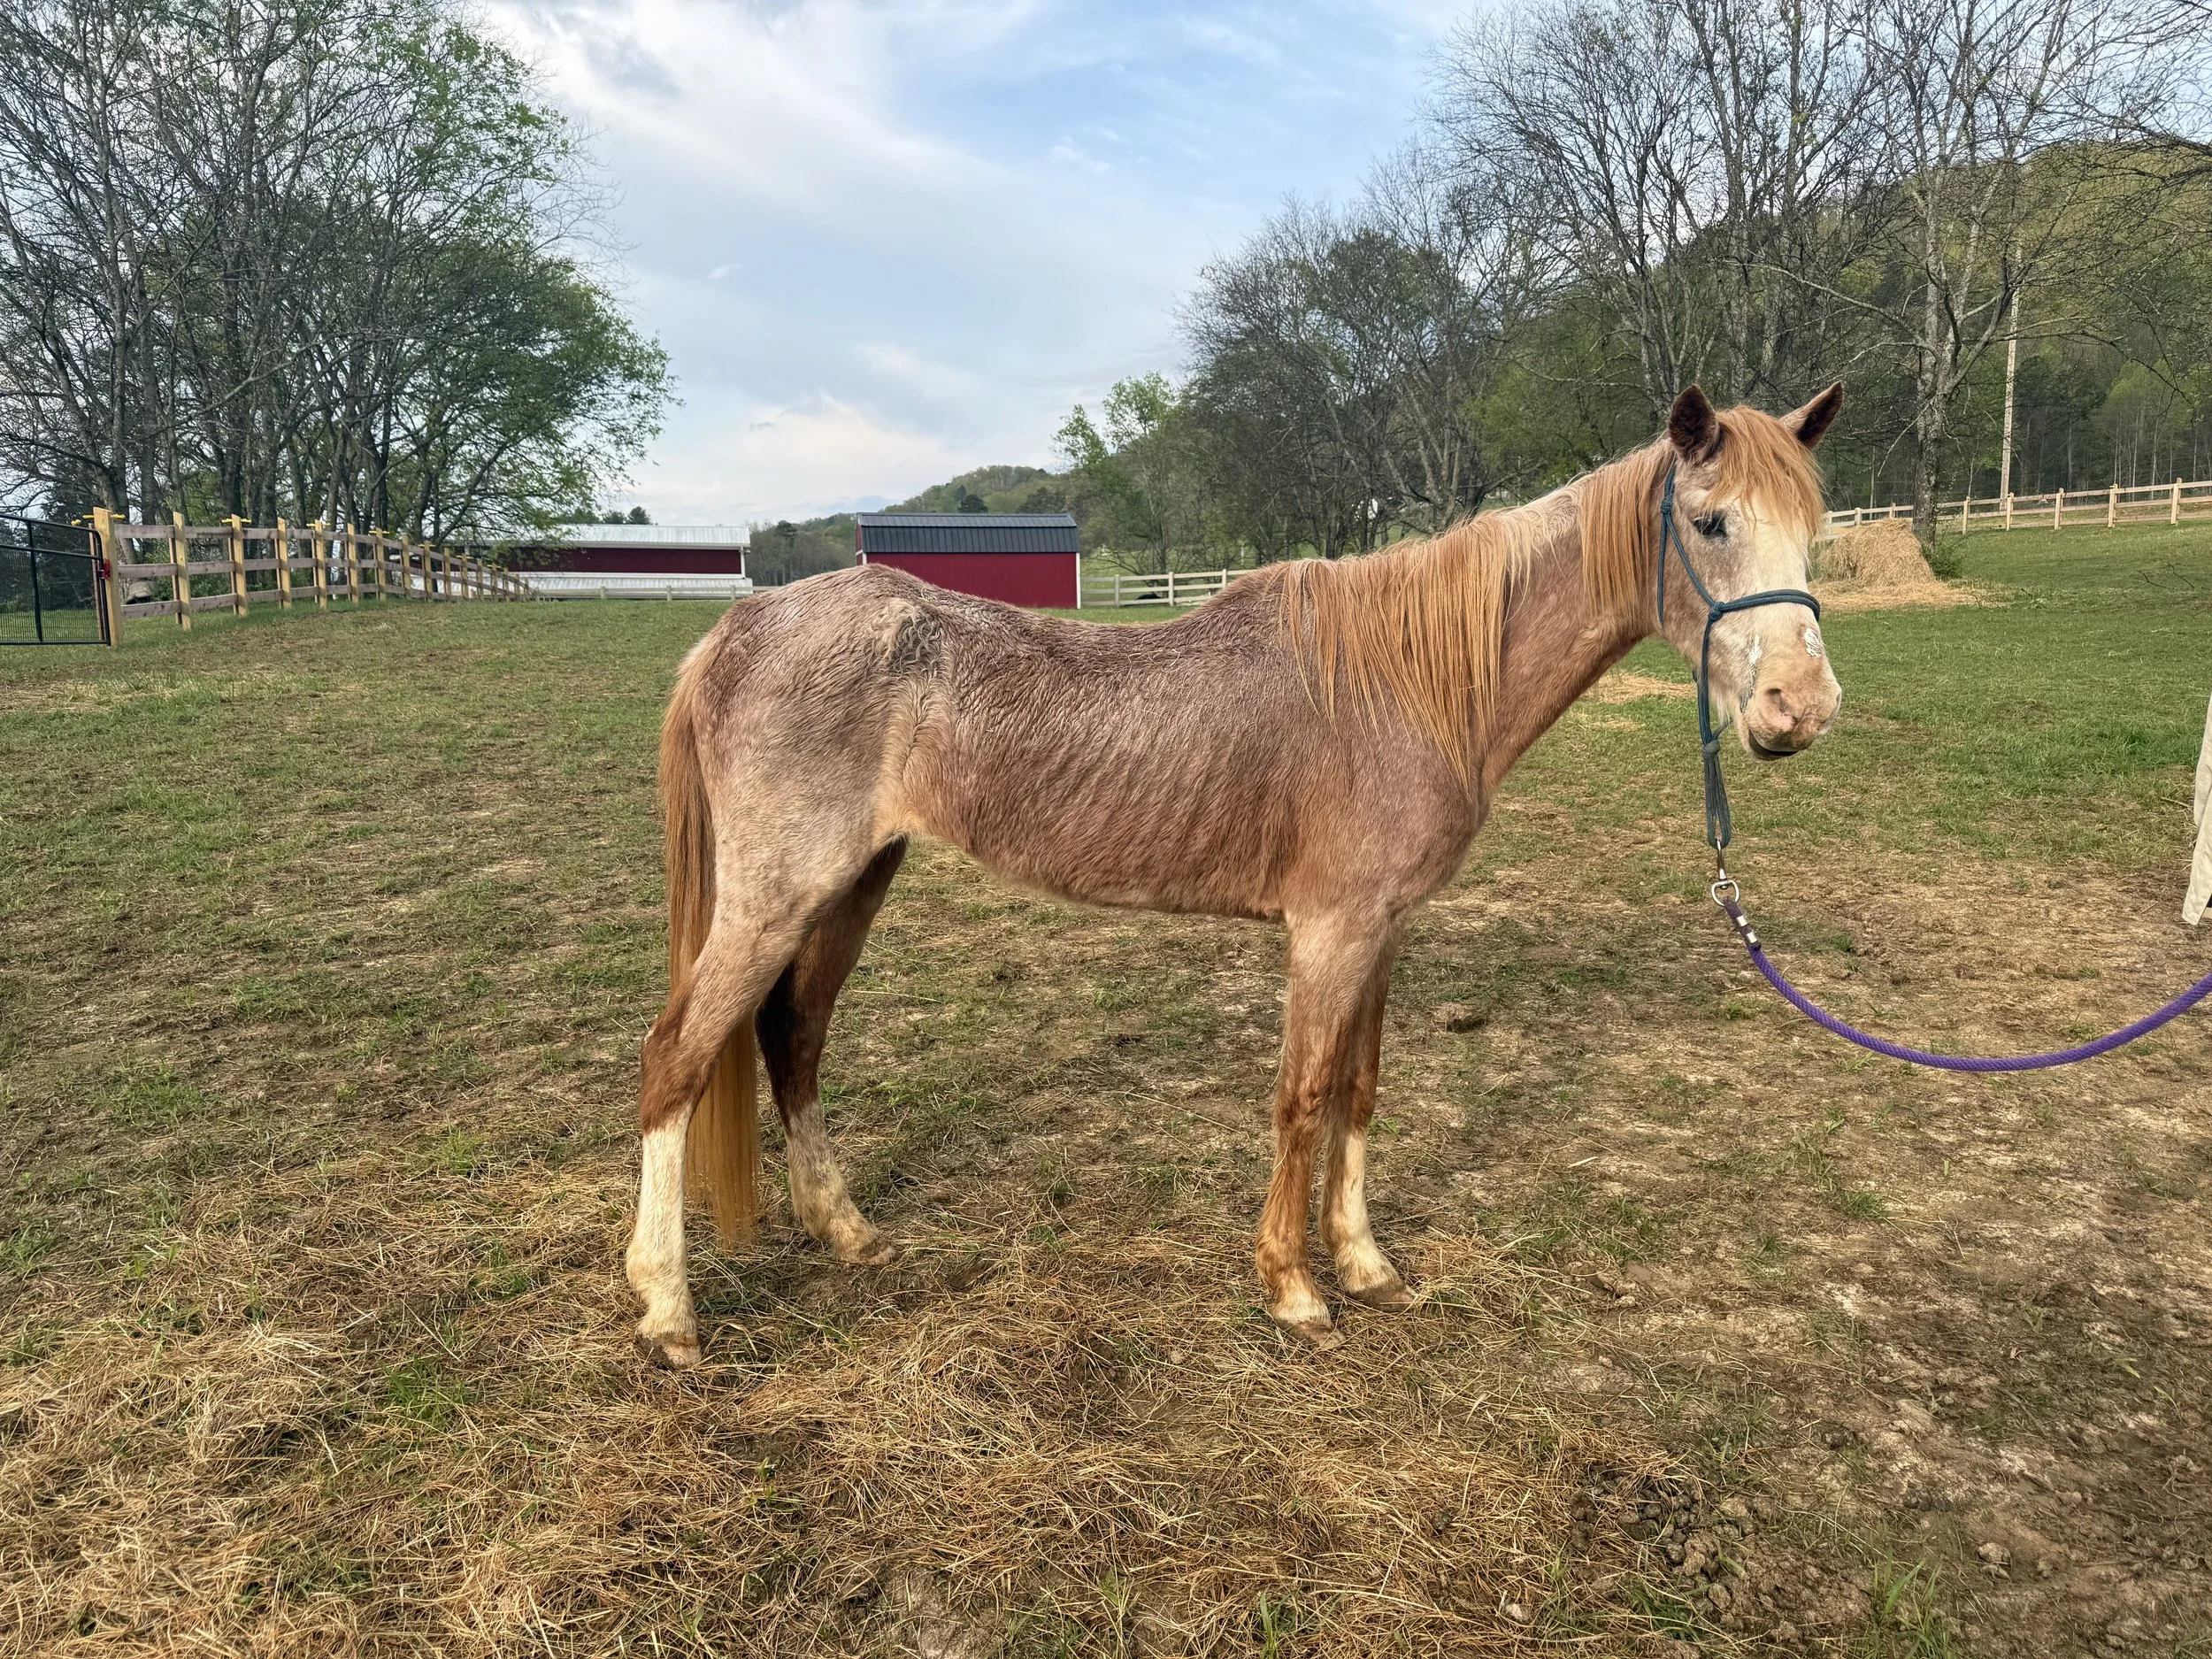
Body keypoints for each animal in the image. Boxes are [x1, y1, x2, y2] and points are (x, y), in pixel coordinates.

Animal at [624, 383, 1846, 1366]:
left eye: (1815, 532)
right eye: (1710, 522)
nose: (1800, 709)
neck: (1403, 683)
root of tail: (744, 620)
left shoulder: (1381, 930)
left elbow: (1358, 1090)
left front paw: (1363, 1264)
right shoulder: (1329, 930)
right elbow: (1300, 1097)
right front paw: (1293, 1289)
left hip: (853, 886)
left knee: (793, 1040)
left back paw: (845, 1233)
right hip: (777, 896)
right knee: (677, 1058)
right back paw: (670, 1310)